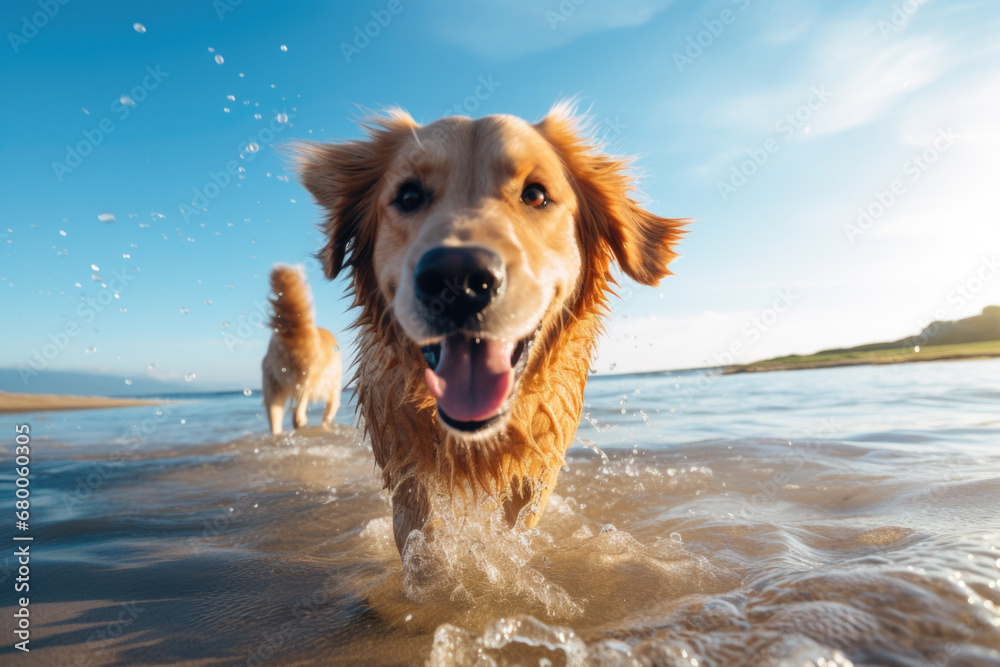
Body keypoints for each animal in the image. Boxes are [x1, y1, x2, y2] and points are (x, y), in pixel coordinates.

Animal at [262, 266, 344, 438]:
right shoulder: (333, 392)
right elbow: (327, 416)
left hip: (273, 390)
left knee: (276, 423)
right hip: (308, 378)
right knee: (301, 404)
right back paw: (299, 420)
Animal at [298, 103, 688, 552]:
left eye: (535, 194)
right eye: (409, 196)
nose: (458, 281)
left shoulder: (538, 455)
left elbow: (518, 517)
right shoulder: (402, 451)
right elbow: (418, 525)